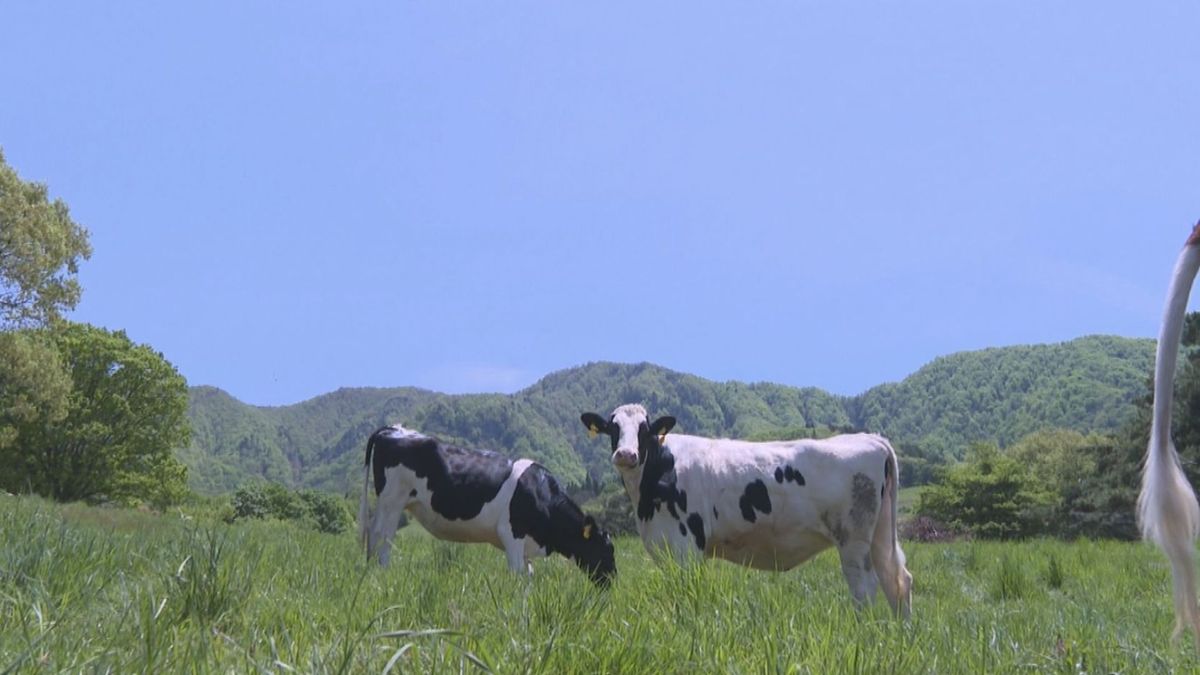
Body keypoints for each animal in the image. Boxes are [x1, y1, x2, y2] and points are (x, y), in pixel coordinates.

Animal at [360, 422, 614, 586]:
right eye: (607, 550)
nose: (612, 582)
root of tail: (393, 429)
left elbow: (529, 577)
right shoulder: (511, 533)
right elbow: (517, 575)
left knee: (373, 534)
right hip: (393, 501)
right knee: (383, 537)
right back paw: (380, 574)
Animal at [580, 401, 907, 612]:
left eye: (645, 429)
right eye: (613, 428)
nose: (626, 454)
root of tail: (870, 438)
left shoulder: (686, 545)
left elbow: (686, 593)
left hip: (852, 538)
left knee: (865, 587)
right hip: (879, 534)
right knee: (898, 581)